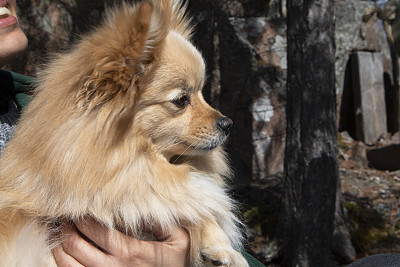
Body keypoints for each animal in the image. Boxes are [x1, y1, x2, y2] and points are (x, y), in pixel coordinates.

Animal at [0, 1, 248, 266]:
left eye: (202, 93)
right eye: (181, 100)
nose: (227, 123)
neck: (133, 160)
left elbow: (194, 202)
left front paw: (222, 248)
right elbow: (186, 202)